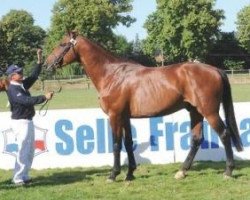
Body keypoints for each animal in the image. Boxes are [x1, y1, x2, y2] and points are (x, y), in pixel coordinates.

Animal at [44, 31, 243, 181]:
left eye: (62, 44)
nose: (46, 64)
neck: (112, 75)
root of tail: (215, 70)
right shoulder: (124, 117)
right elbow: (128, 142)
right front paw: (130, 174)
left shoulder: (115, 116)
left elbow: (116, 143)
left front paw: (113, 174)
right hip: (195, 112)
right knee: (196, 139)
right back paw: (181, 171)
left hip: (210, 112)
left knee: (224, 135)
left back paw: (228, 171)